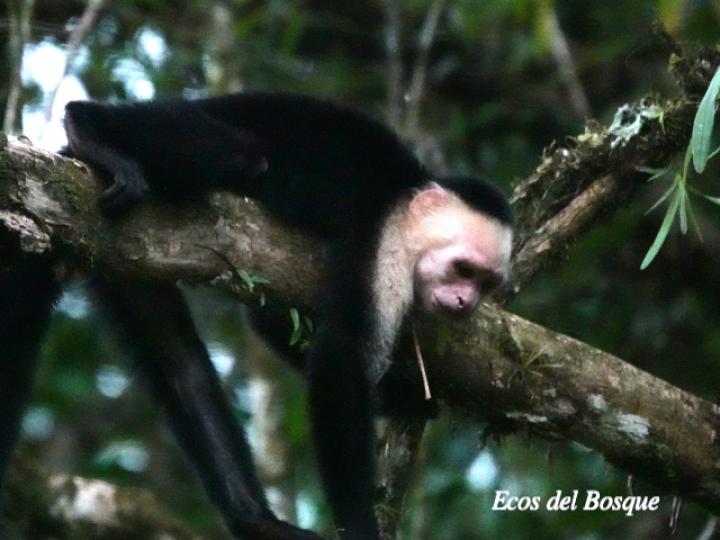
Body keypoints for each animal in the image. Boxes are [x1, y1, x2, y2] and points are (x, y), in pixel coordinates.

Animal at [0, 92, 512, 540]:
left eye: (486, 283)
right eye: (462, 269)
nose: (465, 302)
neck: (405, 202)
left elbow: (274, 326)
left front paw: (407, 394)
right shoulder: (383, 239)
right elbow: (339, 356)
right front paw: (359, 525)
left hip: (124, 252)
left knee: (181, 366)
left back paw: (253, 519)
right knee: (242, 154)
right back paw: (88, 128)